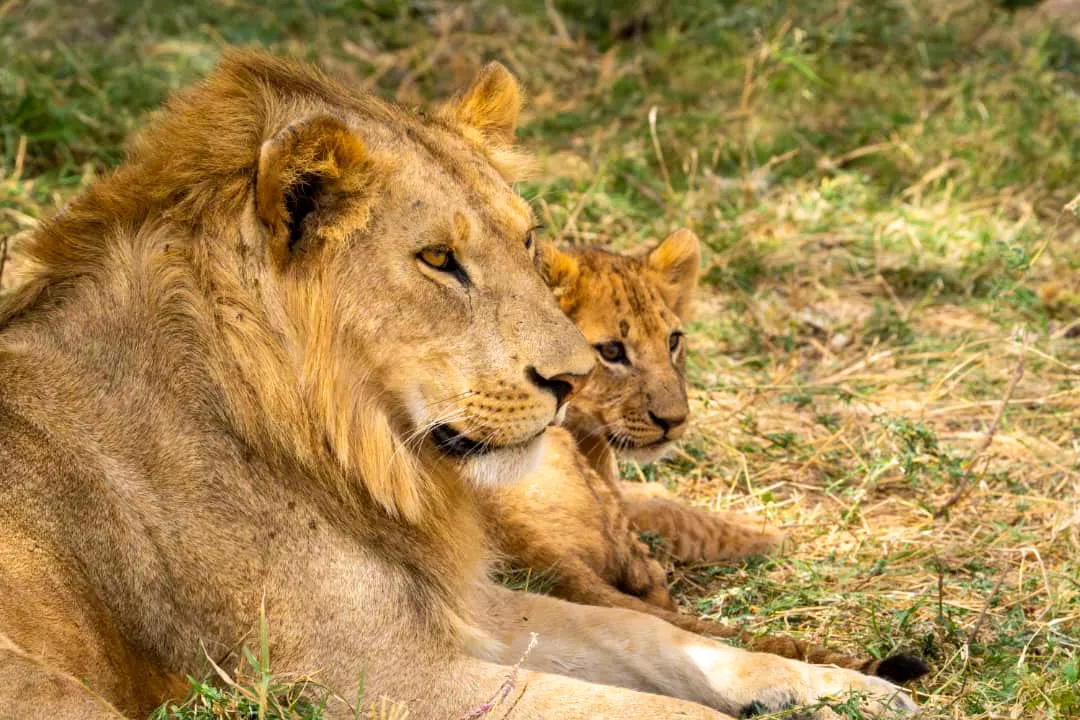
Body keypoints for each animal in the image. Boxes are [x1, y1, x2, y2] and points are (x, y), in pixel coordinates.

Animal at [0, 52, 911, 720]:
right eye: (438, 259)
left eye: (528, 238)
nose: (571, 377)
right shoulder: (367, 673)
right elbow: (652, 707)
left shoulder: (459, 610)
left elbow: (640, 635)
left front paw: (854, 691)